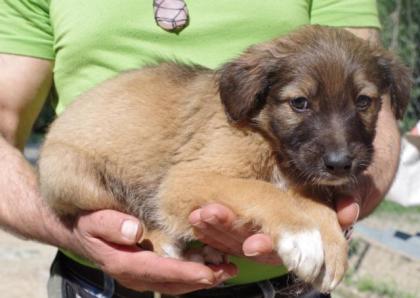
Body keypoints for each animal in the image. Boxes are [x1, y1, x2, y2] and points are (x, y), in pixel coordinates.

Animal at [37, 25, 412, 292]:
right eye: (300, 103)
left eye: (364, 102)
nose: (340, 164)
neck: (267, 138)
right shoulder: (185, 179)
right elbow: (261, 190)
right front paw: (303, 237)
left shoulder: (302, 177)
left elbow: (319, 206)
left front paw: (332, 248)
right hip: (80, 178)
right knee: (137, 217)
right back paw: (175, 246)